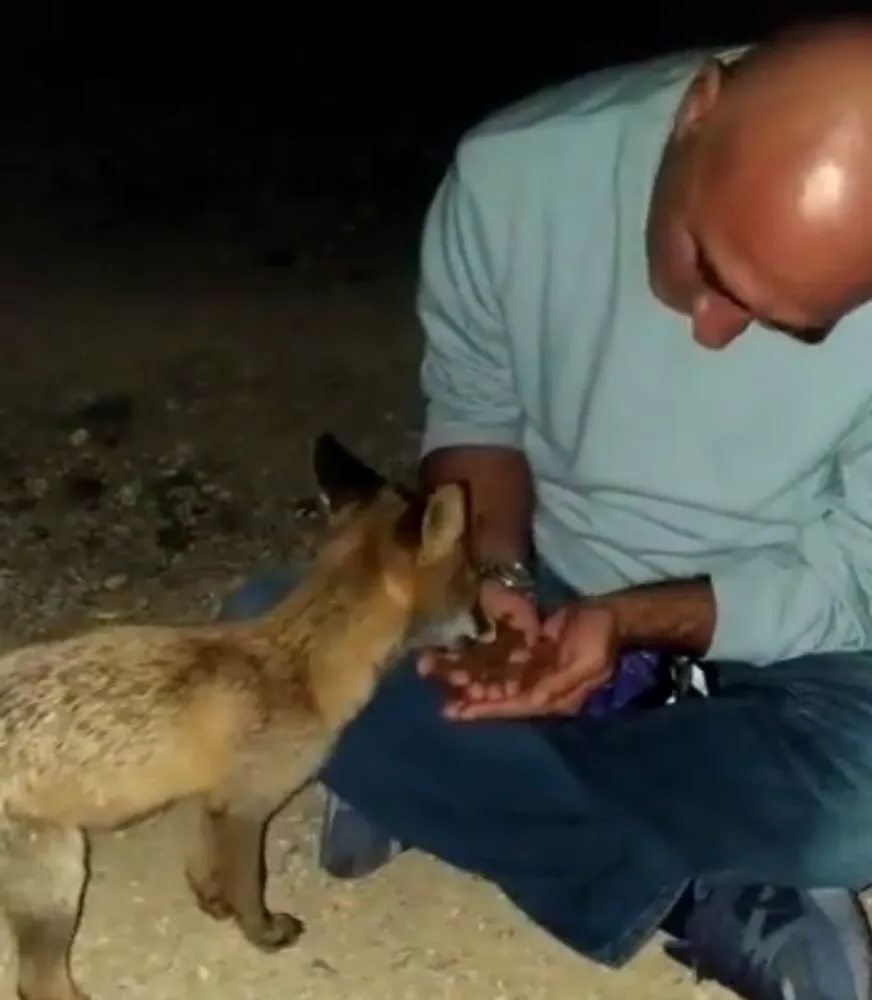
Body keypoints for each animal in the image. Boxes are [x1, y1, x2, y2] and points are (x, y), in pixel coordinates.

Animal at [0, 434, 490, 1000]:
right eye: (473, 582)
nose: (490, 631)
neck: (300, 665)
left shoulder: (203, 795)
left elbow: (202, 864)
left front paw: (213, 903)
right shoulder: (247, 806)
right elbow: (250, 884)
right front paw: (262, 932)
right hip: (60, 878)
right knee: (36, 984)